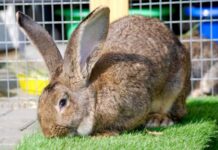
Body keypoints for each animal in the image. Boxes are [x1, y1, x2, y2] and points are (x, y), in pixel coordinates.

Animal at [16, 6, 191, 138]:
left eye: (63, 102)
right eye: (40, 101)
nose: (50, 133)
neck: (94, 96)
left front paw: (103, 134)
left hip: (175, 88)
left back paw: (158, 120)